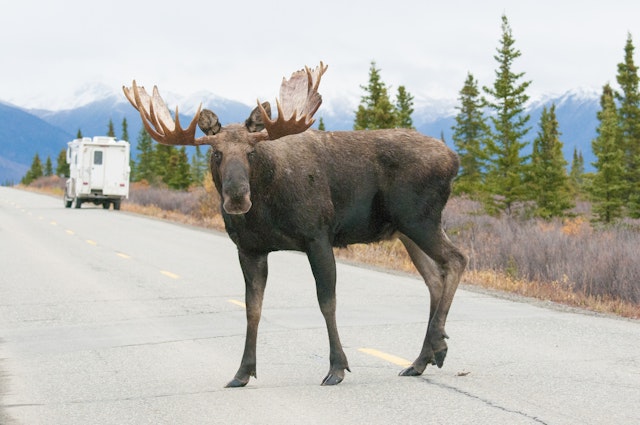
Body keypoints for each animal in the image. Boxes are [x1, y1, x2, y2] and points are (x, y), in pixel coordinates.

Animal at [123, 62, 467, 387]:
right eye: (216, 153)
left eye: (251, 151)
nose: (237, 197)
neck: (265, 207)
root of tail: (455, 160)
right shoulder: (250, 249)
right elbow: (253, 308)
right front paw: (243, 372)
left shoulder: (318, 236)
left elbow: (327, 302)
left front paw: (337, 367)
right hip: (406, 231)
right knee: (434, 278)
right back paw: (422, 359)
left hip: (420, 219)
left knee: (457, 259)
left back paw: (437, 345)